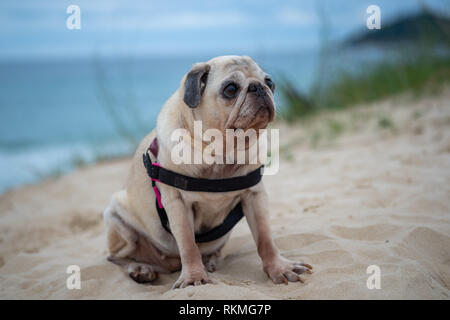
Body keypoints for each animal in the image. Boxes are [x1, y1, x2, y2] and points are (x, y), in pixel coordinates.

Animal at [103, 54, 312, 288]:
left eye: (270, 83)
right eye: (230, 89)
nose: (259, 87)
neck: (221, 155)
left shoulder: (255, 196)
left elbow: (265, 239)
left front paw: (278, 268)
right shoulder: (177, 203)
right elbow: (188, 244)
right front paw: (193, 277)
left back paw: (210, 261)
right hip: (117, 220)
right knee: (117, 258)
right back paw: (140, 269)